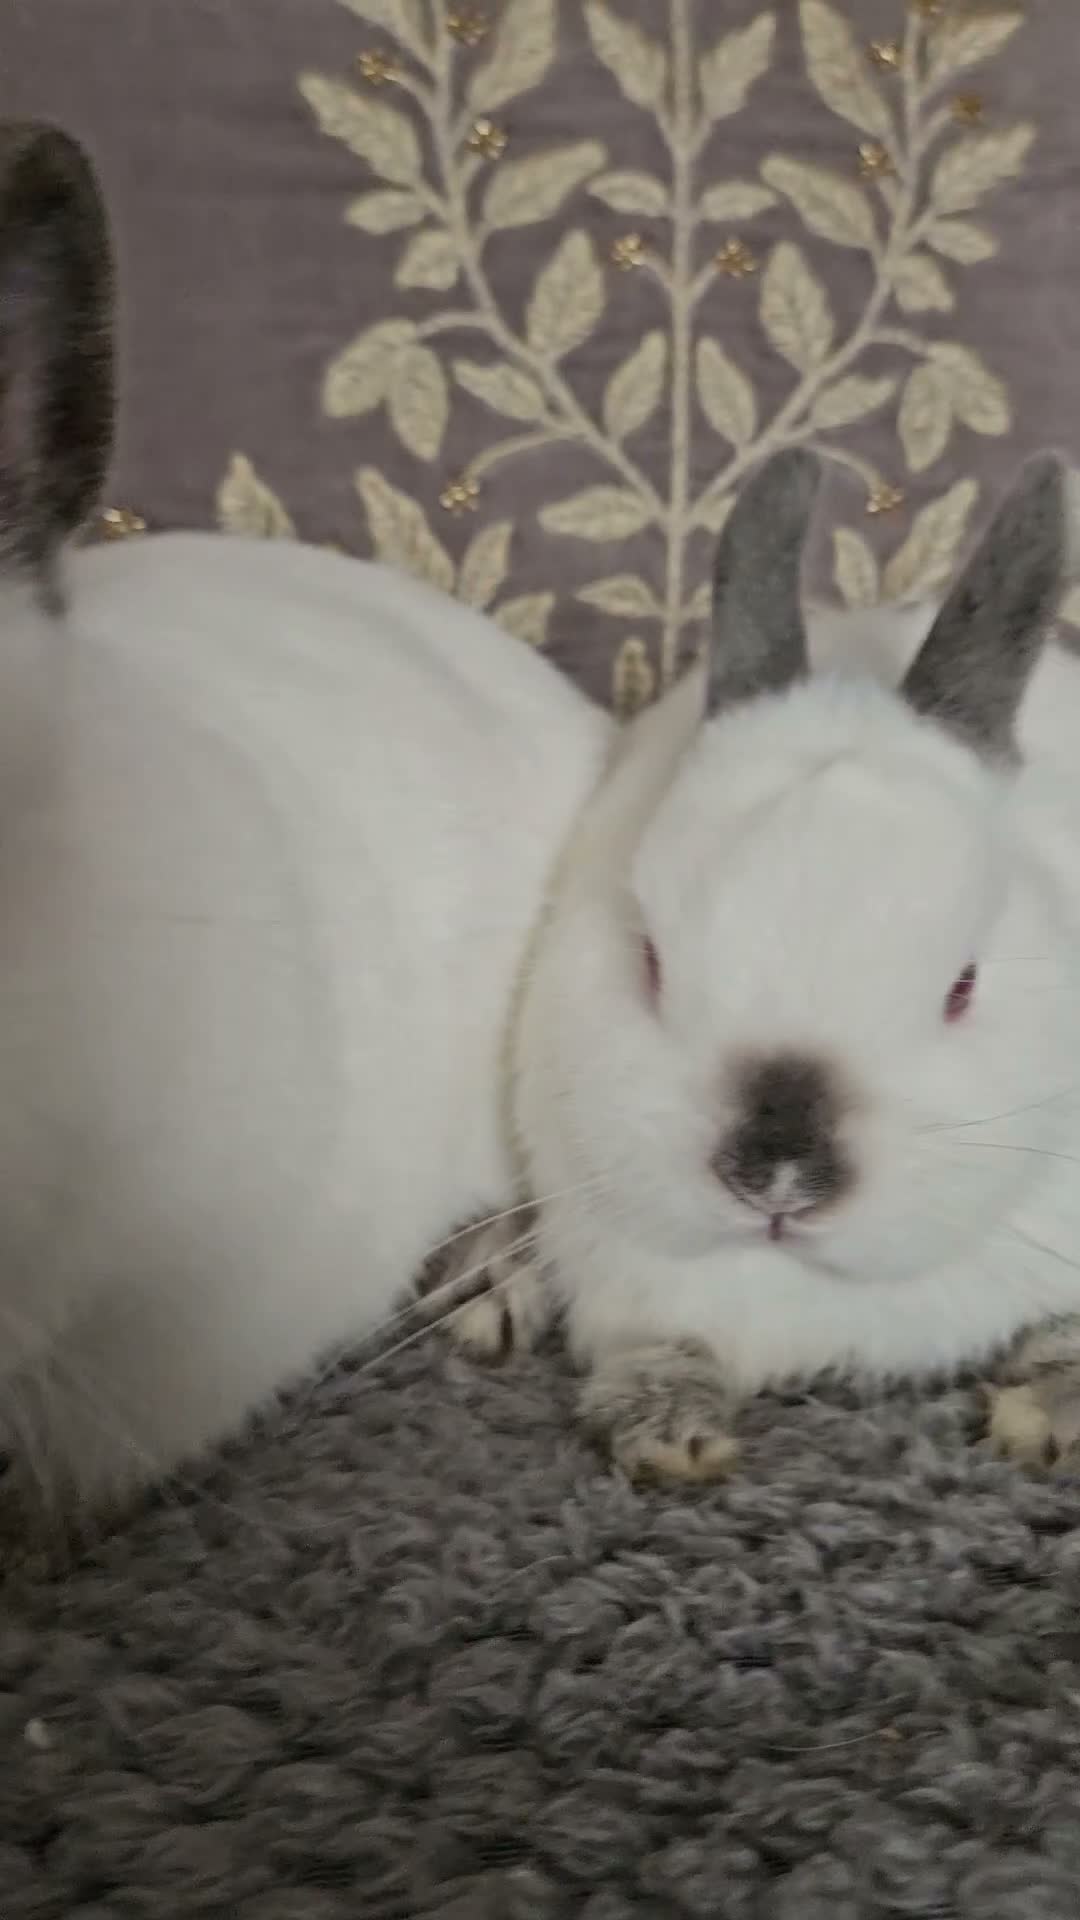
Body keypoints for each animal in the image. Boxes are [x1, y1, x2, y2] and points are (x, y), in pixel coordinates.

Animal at [442, 443, 1080, 1482]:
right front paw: (670, 1434)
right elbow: (659, 1344)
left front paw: (1043, 1420)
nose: (777, 1181)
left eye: (963, 985)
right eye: (651, 958)